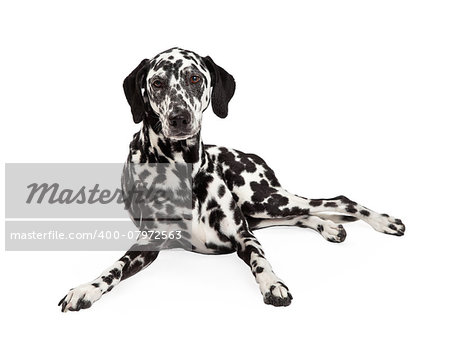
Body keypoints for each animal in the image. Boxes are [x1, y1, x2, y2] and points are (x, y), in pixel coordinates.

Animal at [56, 47, 404, 310]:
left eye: (194, 78)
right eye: (156, 83)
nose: (180, 118)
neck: (183, 169)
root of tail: (252, 156)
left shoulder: (243, 236)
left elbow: (261, 260)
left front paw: (273, 283)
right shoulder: (148, 243)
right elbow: (113, 268)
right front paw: (86, 288)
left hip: (266, 199)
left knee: (335, 201)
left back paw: (384, 221)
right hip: (265, 211)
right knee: (308, 213)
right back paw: (330, 227)